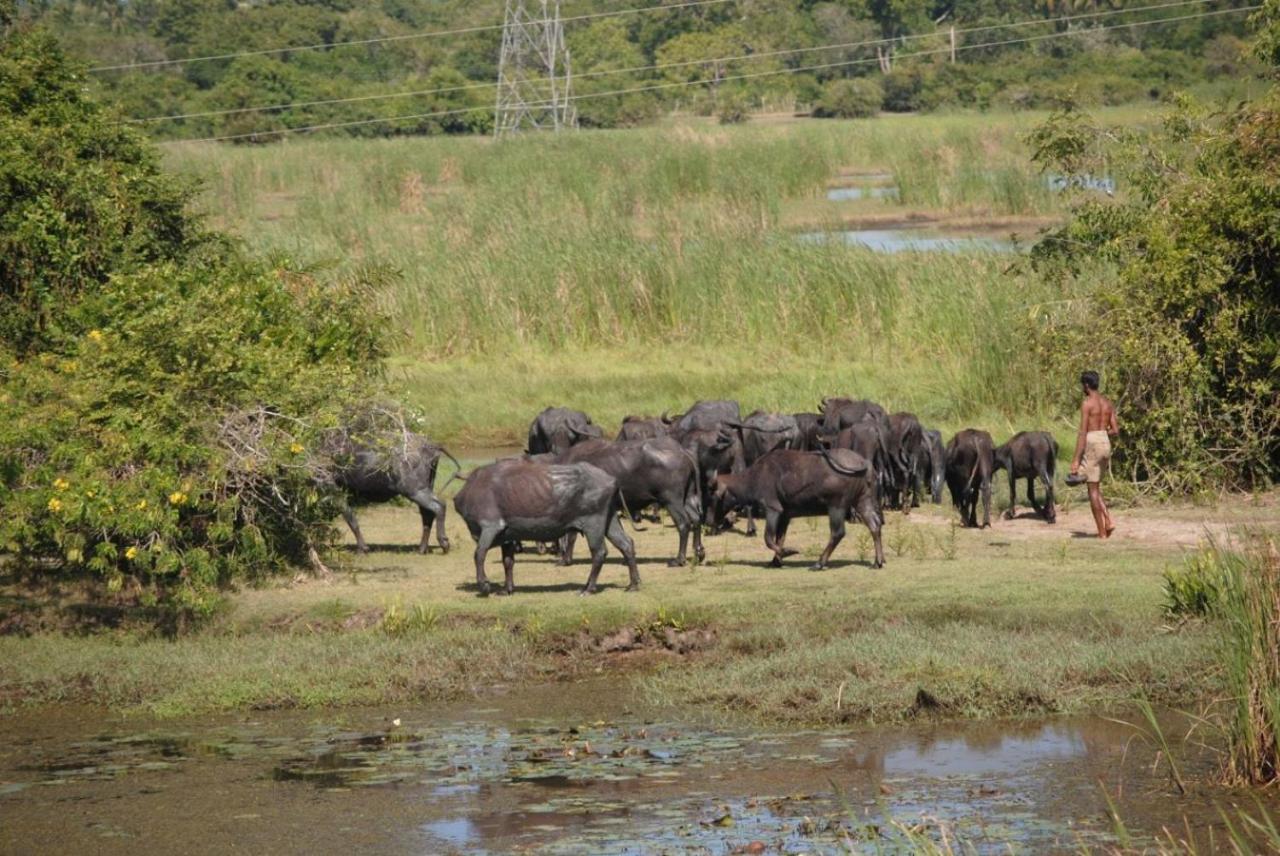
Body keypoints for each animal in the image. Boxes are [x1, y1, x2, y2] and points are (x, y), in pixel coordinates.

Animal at [327, 427, 458, 555]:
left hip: (414, 490)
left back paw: (443, 543)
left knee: (439, 505)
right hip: (425, 488)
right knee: (428, 513)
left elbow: (350, 517)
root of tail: (430, 446)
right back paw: (422, 549)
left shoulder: (332, 489)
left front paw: (362, 549)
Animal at [450, 460, 640, 593]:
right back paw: (633, 584)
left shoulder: (491, 527)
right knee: (626, 544)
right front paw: (507, 589)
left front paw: (484, 585)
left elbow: (479, 554)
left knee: (599, 552)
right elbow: (508, 561)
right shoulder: (508, 537)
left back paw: (588, 589)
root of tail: (612, 479)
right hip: (610, 520)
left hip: (594, 524)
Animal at [555, 437, 706, 562]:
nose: (554, 551)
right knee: (696, 519)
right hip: (688, 497)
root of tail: (682, 451)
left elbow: (571, 535)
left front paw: (566, 559)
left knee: (684, 523)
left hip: (671, 500)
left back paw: (679, 559)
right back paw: (698, 552)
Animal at [706, 447, 885, 568]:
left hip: (836, 506)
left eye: (713, 496)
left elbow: (768, 538)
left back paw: (819, 563)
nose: (708, 521)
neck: (754, 477)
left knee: (838, 532)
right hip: (863, 502)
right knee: (875, 525)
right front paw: (776, 561)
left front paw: (788, 552)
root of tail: (864, 463)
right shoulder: (785, 515)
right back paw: (879, 561)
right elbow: (779, 538)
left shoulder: (773, 510)